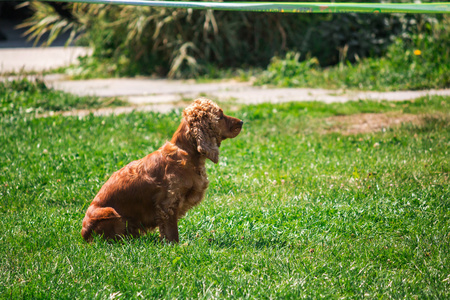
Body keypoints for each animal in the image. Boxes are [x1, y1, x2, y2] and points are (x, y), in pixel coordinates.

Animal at [81, 97, 243, 243]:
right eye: (220, 116)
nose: (242, 122)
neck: (186, 152)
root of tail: (83, 234)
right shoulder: (169, 202)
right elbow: (171, 231)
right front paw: (176, 245)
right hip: (111, 214)